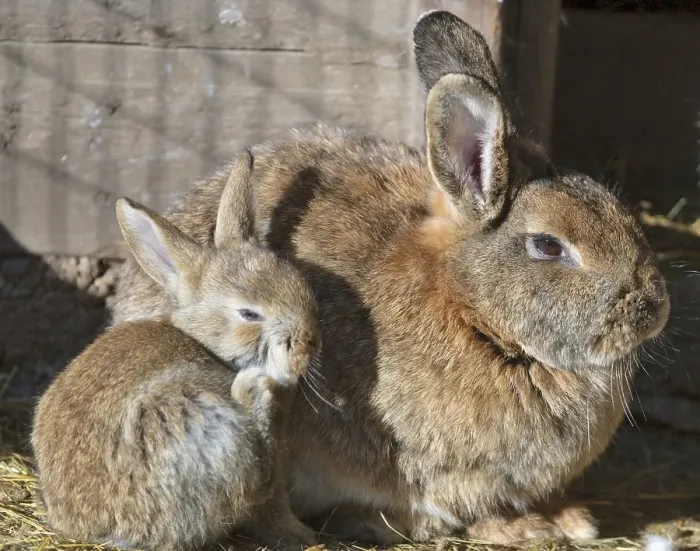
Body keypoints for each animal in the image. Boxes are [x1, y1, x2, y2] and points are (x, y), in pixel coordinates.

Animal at [31, 151, 321, 551]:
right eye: (249, 314)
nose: (310, 345)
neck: (204, 341)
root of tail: (103, 523)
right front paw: (301, 535)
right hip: (205, 429)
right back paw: (251, 391)